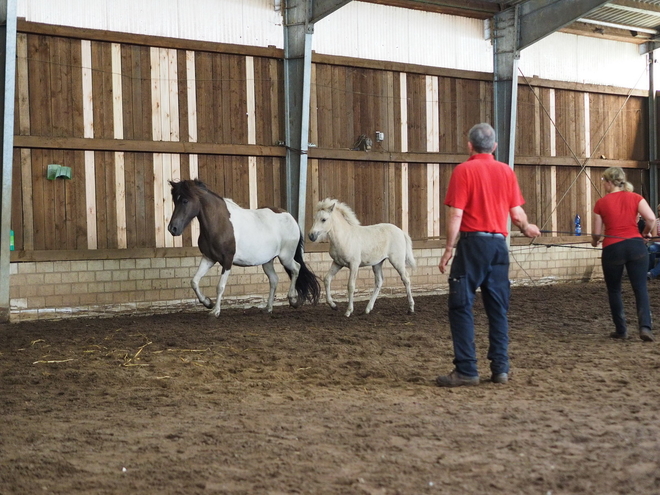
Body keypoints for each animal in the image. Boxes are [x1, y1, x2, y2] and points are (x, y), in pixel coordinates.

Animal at [165, 181, 320, 318]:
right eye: (174, 200)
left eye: (185, 201)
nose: (173, 228)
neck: (220, 223)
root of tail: (290, 217)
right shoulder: (208, 258)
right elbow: (194, 281)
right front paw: (208, 303)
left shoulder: (227, 261)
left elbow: (220, 286)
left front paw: (215, 311)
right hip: (267, 261)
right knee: (274, 279)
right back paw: (268, 308)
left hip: (286, 257)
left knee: (296, 268)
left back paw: (292, 299)